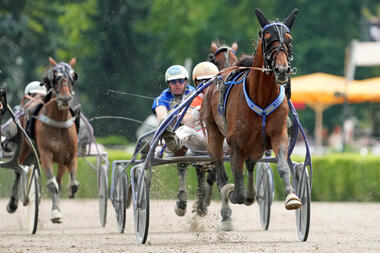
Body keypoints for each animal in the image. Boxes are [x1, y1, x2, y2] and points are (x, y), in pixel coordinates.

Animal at [14, 57, 79, 223]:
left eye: (73, 76)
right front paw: (55, 213)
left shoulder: (69, 155)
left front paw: (68, 194)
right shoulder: (45, 154)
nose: (65, 98)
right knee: (19, 167)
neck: (58, 121)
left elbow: (71, 183)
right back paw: (17, 200)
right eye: (55, 77)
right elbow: (52, 184)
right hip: (25, 148)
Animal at [200, 8, 302, 231]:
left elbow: (282, 166)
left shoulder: (277, 135)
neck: (261, 97)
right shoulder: (235, 143)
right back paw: (226, 210)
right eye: (267, 38)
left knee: (248, 165)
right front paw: (233, 193)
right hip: (213, 134)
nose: (282, 70)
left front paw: (292, 197)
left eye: (289, 39)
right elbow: (235, 182)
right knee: (220, 171)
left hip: (256, 145)